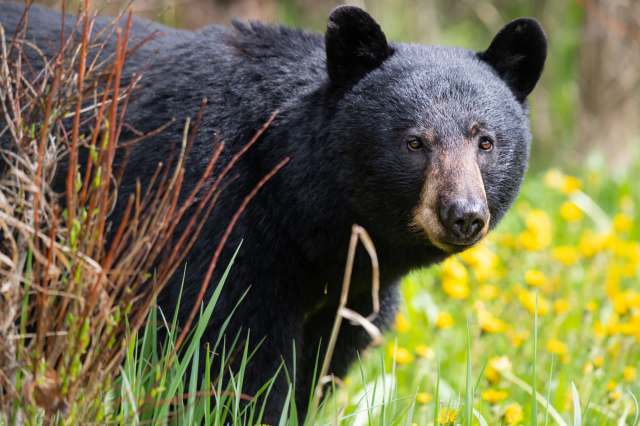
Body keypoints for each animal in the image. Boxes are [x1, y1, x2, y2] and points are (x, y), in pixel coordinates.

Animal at [0, 2, 547, 422]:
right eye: (414, 142)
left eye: (485, 141)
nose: (463, 214)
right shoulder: (214, 224)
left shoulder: (350, 294)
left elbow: (317, 368)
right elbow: (232, 360)